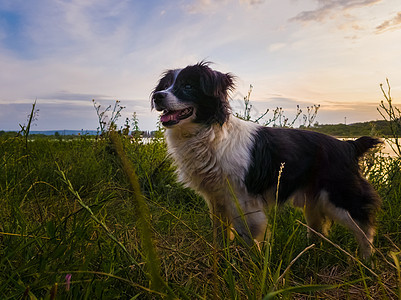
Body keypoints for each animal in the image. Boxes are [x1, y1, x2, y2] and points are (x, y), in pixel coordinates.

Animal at [151, 61, 382, 258]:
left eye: (187, 86)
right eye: (166, 86)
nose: (157, 96)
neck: (209, 134)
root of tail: (348, 145)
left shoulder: (243, 201)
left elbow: (249, 236)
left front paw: (252, 265)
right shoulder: (216, 198)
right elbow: (220, 232)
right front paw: (221, 258)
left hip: (339, 198)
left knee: (365, 229)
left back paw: (365, 262)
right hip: (313, 202)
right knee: (319, 232)